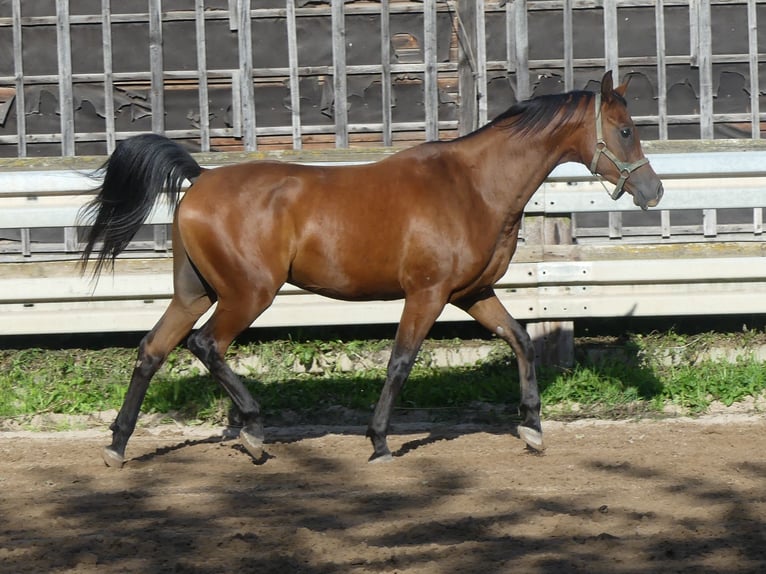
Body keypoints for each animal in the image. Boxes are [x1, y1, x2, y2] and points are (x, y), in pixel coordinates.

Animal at [79, 71, 663, 467]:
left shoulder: (472, 294)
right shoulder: (427, 294)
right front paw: (380, 442)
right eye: (626, 130)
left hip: (194, 292)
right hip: (249, 294)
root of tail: (200, 179)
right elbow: (400, 362)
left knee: (152, 349)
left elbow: (520, 339)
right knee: (205, 345)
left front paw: (533, 428)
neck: (473, 186)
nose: (654, 191)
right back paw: (253, 433)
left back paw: (117, 446)